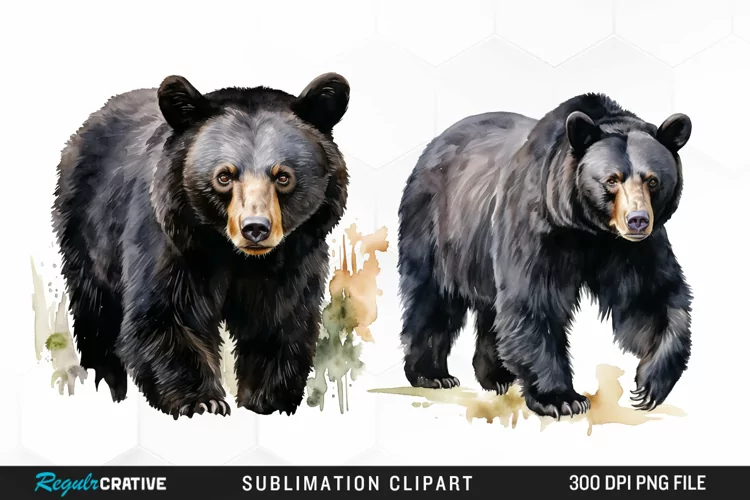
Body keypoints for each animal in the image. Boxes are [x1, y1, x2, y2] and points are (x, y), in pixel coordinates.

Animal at [52, 72, 350, 418]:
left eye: (283, 177)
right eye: (224, 176)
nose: (255, 228)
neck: (236, 257)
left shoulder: (294, 259)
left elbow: (280, 322)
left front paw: (268, 400)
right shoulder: (170, 243)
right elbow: (166, 316)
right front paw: (204, 402)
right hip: (87, 229)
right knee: (96, 310)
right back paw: (107, 380)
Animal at [397, 93, 692, 418]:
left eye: (652, 180)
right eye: (612, 180)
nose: (637, 220)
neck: (589, 228)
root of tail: (431, 147)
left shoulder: (630, 248)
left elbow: (649, 298)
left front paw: (650, 384)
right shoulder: (537, 223)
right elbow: (534, 300)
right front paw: (562, 398)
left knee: (491, 309)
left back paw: (496, 376)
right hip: (437, 225)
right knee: (433, 297)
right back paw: (432, 374)